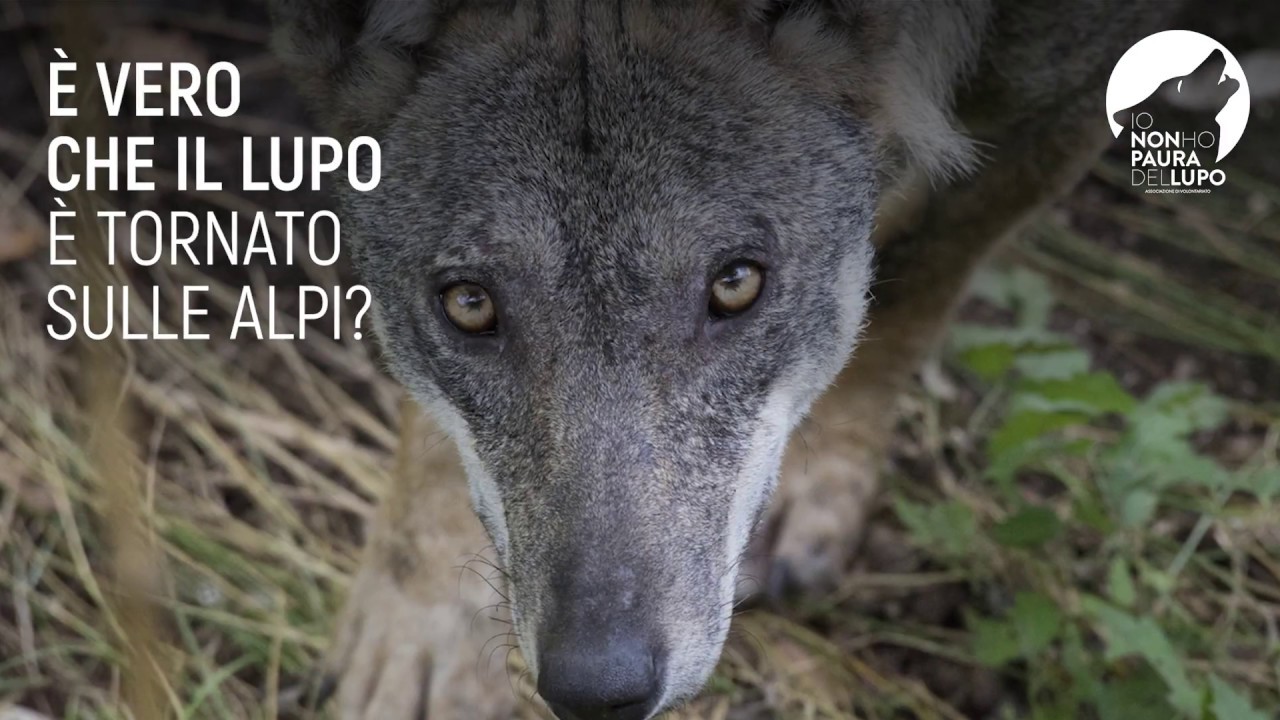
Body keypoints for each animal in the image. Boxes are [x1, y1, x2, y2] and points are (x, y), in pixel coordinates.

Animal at [268, 1, 1188, 717]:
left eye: (736, 285)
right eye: (470, 304)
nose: (597, 689)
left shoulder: (1059, 96)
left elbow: (922, 280)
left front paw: (822, 478)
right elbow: (434, 445)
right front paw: (424, 632)